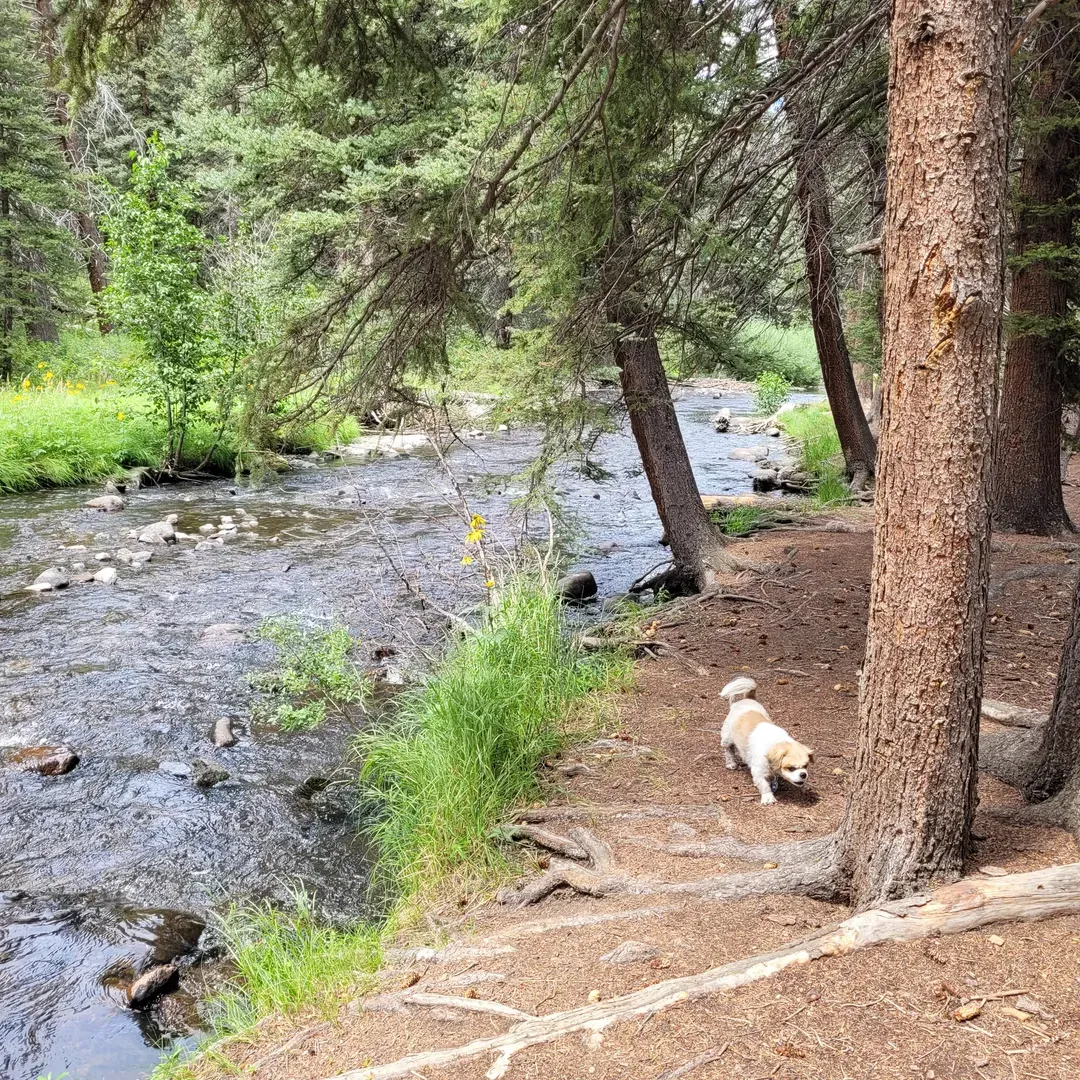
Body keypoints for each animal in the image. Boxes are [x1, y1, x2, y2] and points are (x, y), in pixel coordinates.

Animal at [717, 673, 812, 803]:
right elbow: (764, 785)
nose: (803, 774)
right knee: (728, 749)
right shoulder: (758, 771)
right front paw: (768, 797)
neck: (776, 743)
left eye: (806, 766)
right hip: (727, 738)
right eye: (791, 768)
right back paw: (731, 763)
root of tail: (748, 699)